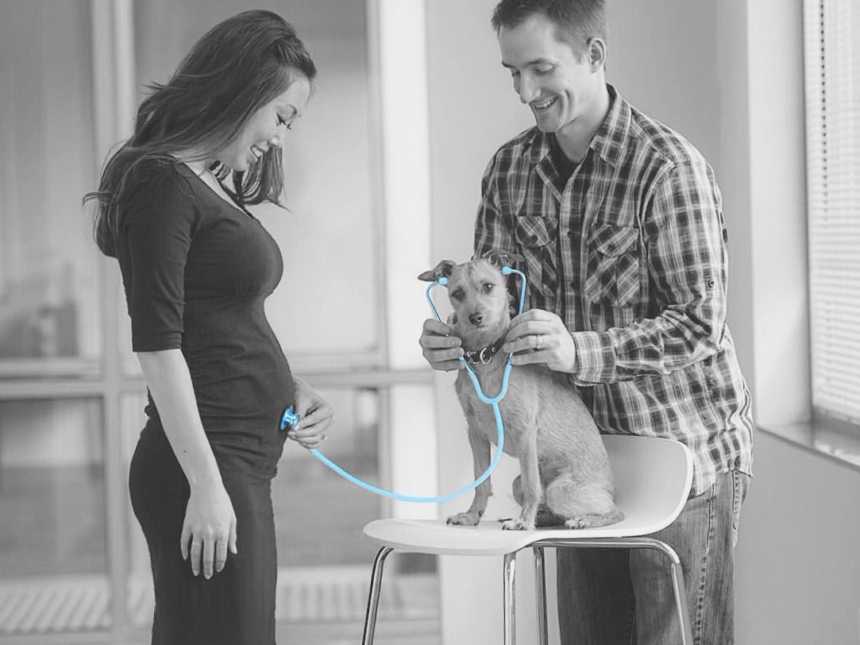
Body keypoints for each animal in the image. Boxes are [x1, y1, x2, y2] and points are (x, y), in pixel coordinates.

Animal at [416, 252, 620, 528]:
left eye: (488, 286)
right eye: (457, 293)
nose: (475, 317)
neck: (485, 357)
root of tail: (611, 488)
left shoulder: (525, 432)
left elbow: (533, 486)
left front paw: (523, 522)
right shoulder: (475, 434)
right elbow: (481, 482)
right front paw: (472, 515)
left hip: (560, 490)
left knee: (613, 511)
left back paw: (582, 520)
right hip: (517, 484)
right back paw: (542, 518)